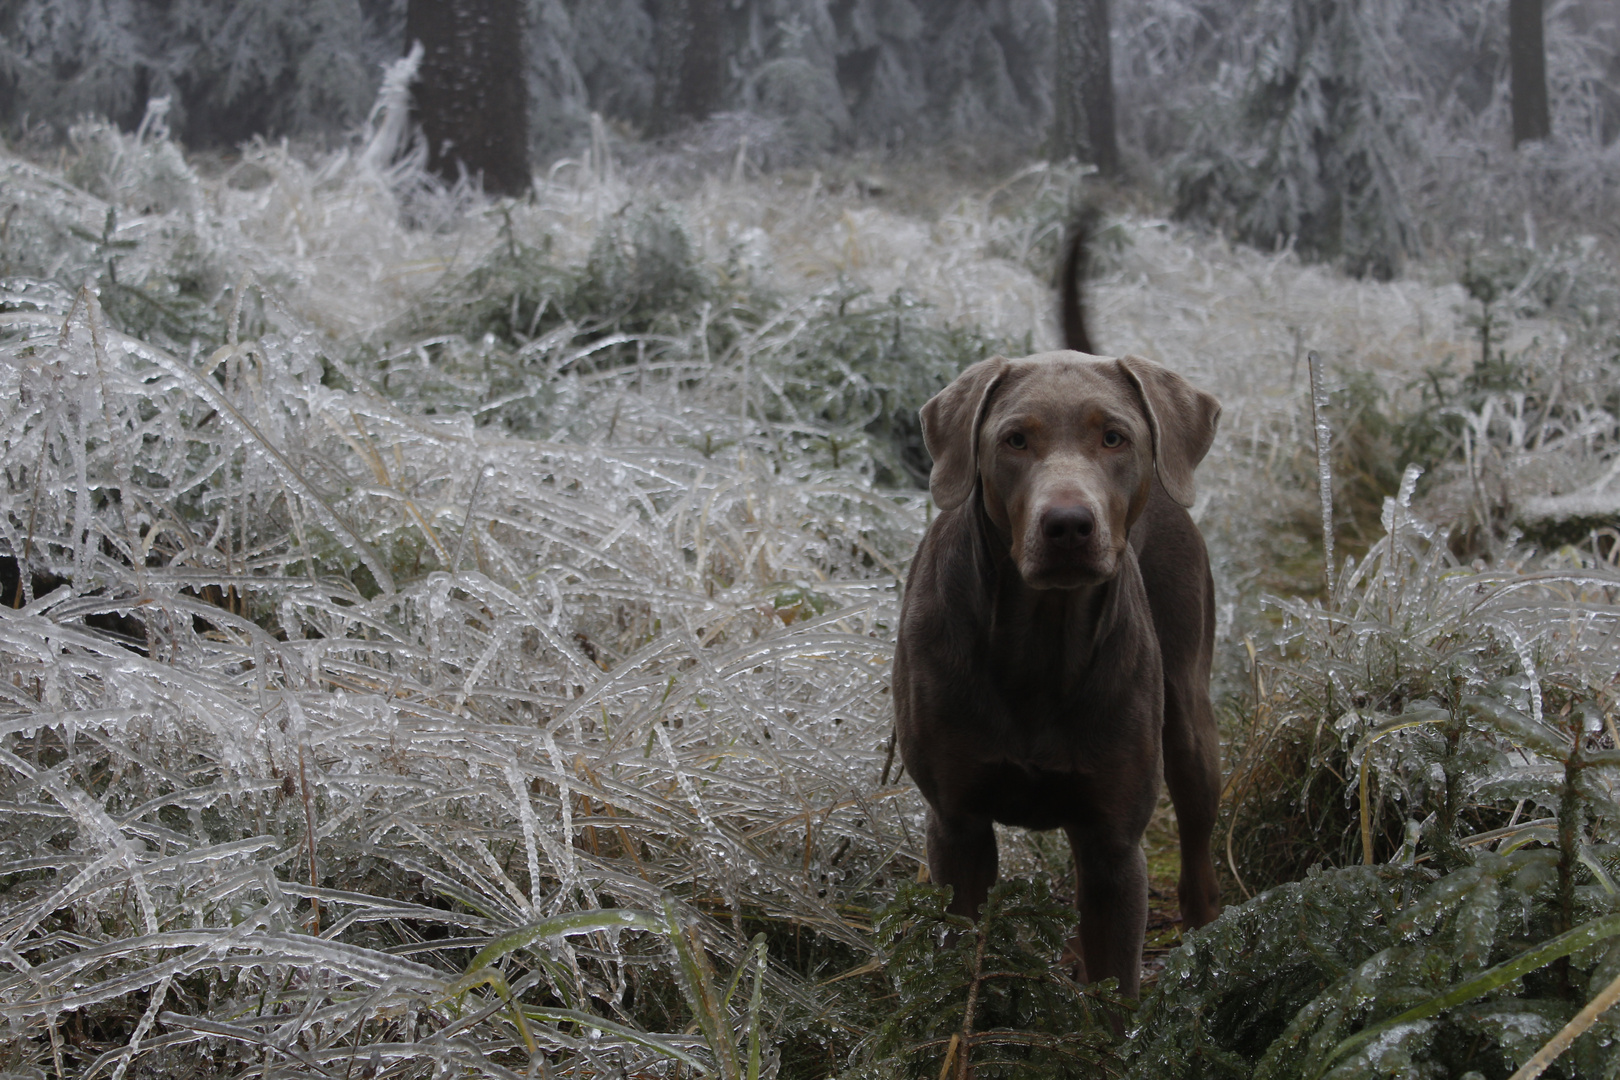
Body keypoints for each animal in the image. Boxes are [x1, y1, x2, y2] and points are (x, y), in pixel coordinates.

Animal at [894, 333, 1218, 1003]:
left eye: (1114, 437)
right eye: (1014, 439)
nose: (1068, 524)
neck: (1041, 642)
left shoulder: (1115, 845)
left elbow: (1117, 994)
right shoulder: (956, 825)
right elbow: (962, 960)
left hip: (1189, 721)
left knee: (1197, 853)